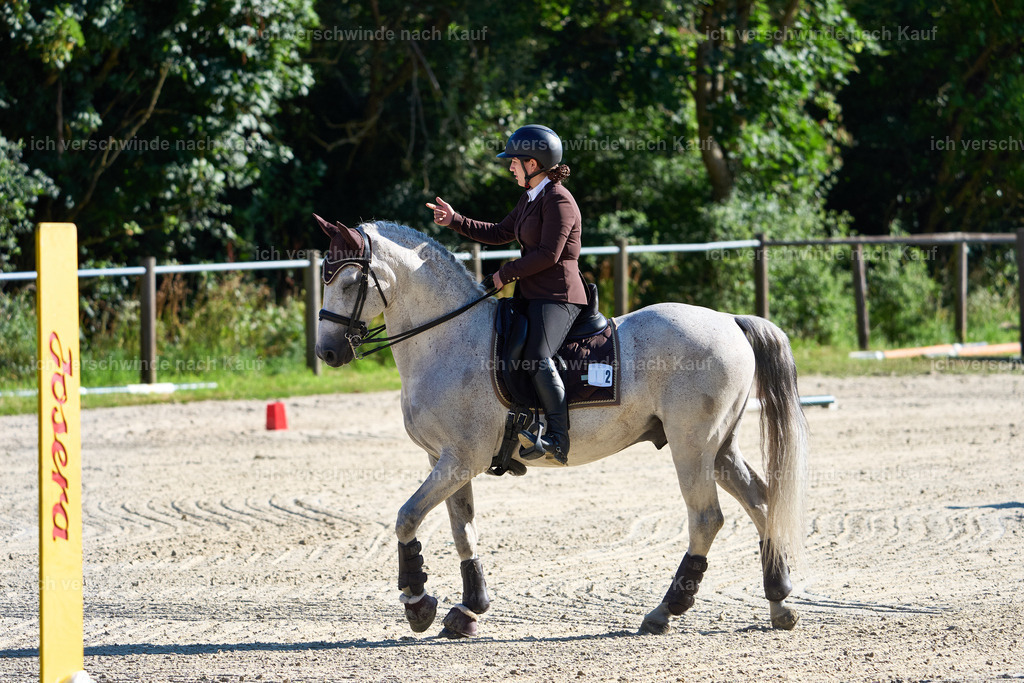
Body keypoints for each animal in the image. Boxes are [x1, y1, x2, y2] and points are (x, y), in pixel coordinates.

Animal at [315, 220, 811, 643]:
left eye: (348, 282)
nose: (327, 352)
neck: (448, 338)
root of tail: (729, 320)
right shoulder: (445, 459)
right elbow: (463, 530)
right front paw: (469, 609)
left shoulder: (460, 459)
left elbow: (407, 517)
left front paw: (418, 603)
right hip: (719, 448)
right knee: (762, 501)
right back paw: (779, 602)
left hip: (692, 445)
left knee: (707, 518)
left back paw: (664, 611)